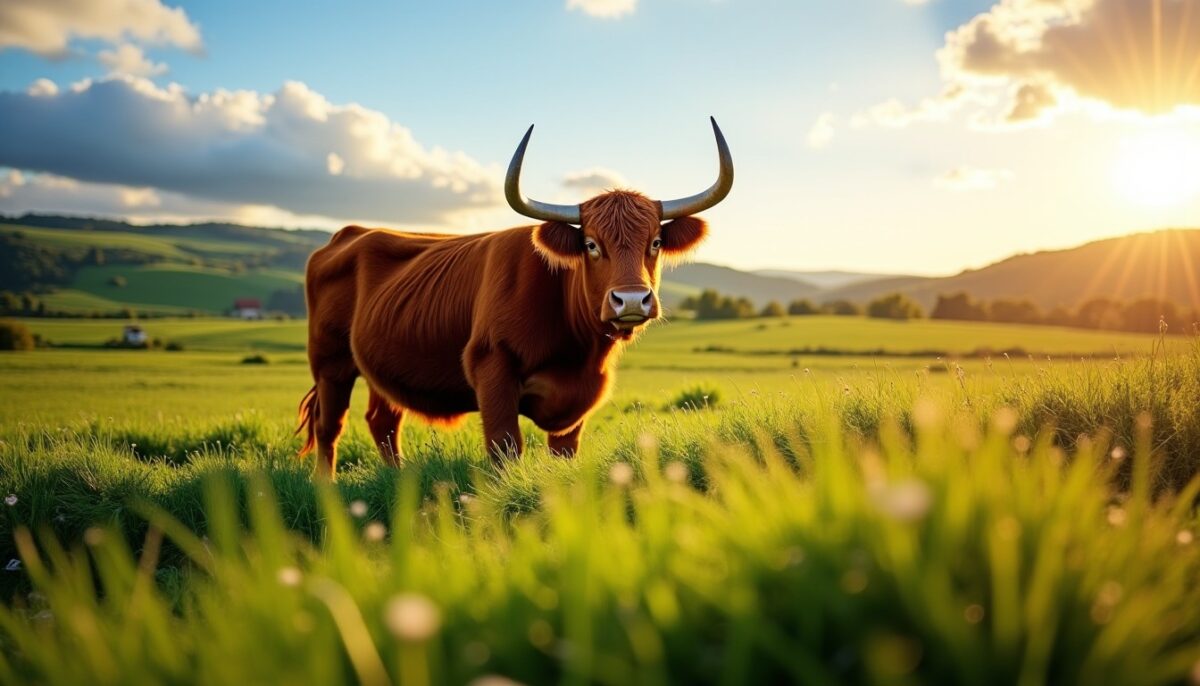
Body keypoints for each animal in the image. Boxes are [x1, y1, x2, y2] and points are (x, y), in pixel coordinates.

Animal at [297, 118, 733, 477]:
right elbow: (505, 448)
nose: (630, 300)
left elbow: (564, 452)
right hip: (330, 361)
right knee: (329, 425)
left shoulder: (579, 402)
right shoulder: (491, 367)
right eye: (591, 245)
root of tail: (351, 233)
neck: (578, 351)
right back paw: (325, 487)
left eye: (655, 242)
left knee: (383, 421)